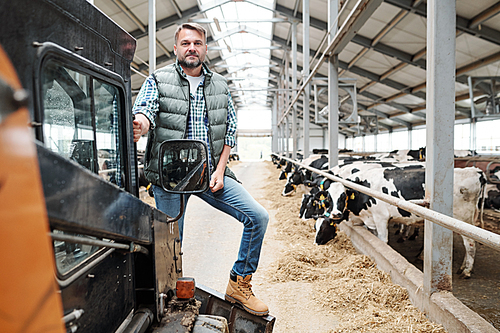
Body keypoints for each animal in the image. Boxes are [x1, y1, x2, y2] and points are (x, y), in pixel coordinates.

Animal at [314, 165, 486, 278]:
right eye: (328, 197)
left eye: (343, 196)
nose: (335, 214)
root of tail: (474, 171)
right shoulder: (372, 220)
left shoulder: (381, 218)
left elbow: (382, 243)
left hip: (462, 221)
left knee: (470, 243)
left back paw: (466, 271)